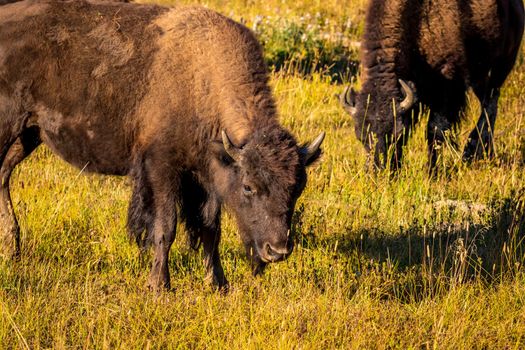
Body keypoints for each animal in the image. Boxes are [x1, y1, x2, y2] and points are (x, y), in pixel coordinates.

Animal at [0, 0, 324, 290]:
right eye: (249, 187)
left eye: (297, 188)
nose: (277, 250)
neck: (203, 78)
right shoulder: (162, 169)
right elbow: (165, 227)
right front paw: (159, 286)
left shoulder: (207, 176)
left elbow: (210, 229)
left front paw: (219, 284)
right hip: (9, 126)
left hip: (29, 133)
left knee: (3, 174)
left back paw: (12, 249)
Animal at [340, 0, 524, 172]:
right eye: (360, 135)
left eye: (396, 133)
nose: (377, 169)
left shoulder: (447, 88)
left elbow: (434, 130)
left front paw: (432, 172)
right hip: (480, 75)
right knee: (487, 102)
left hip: (503, 64)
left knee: (491, 103)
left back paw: (472, 151)